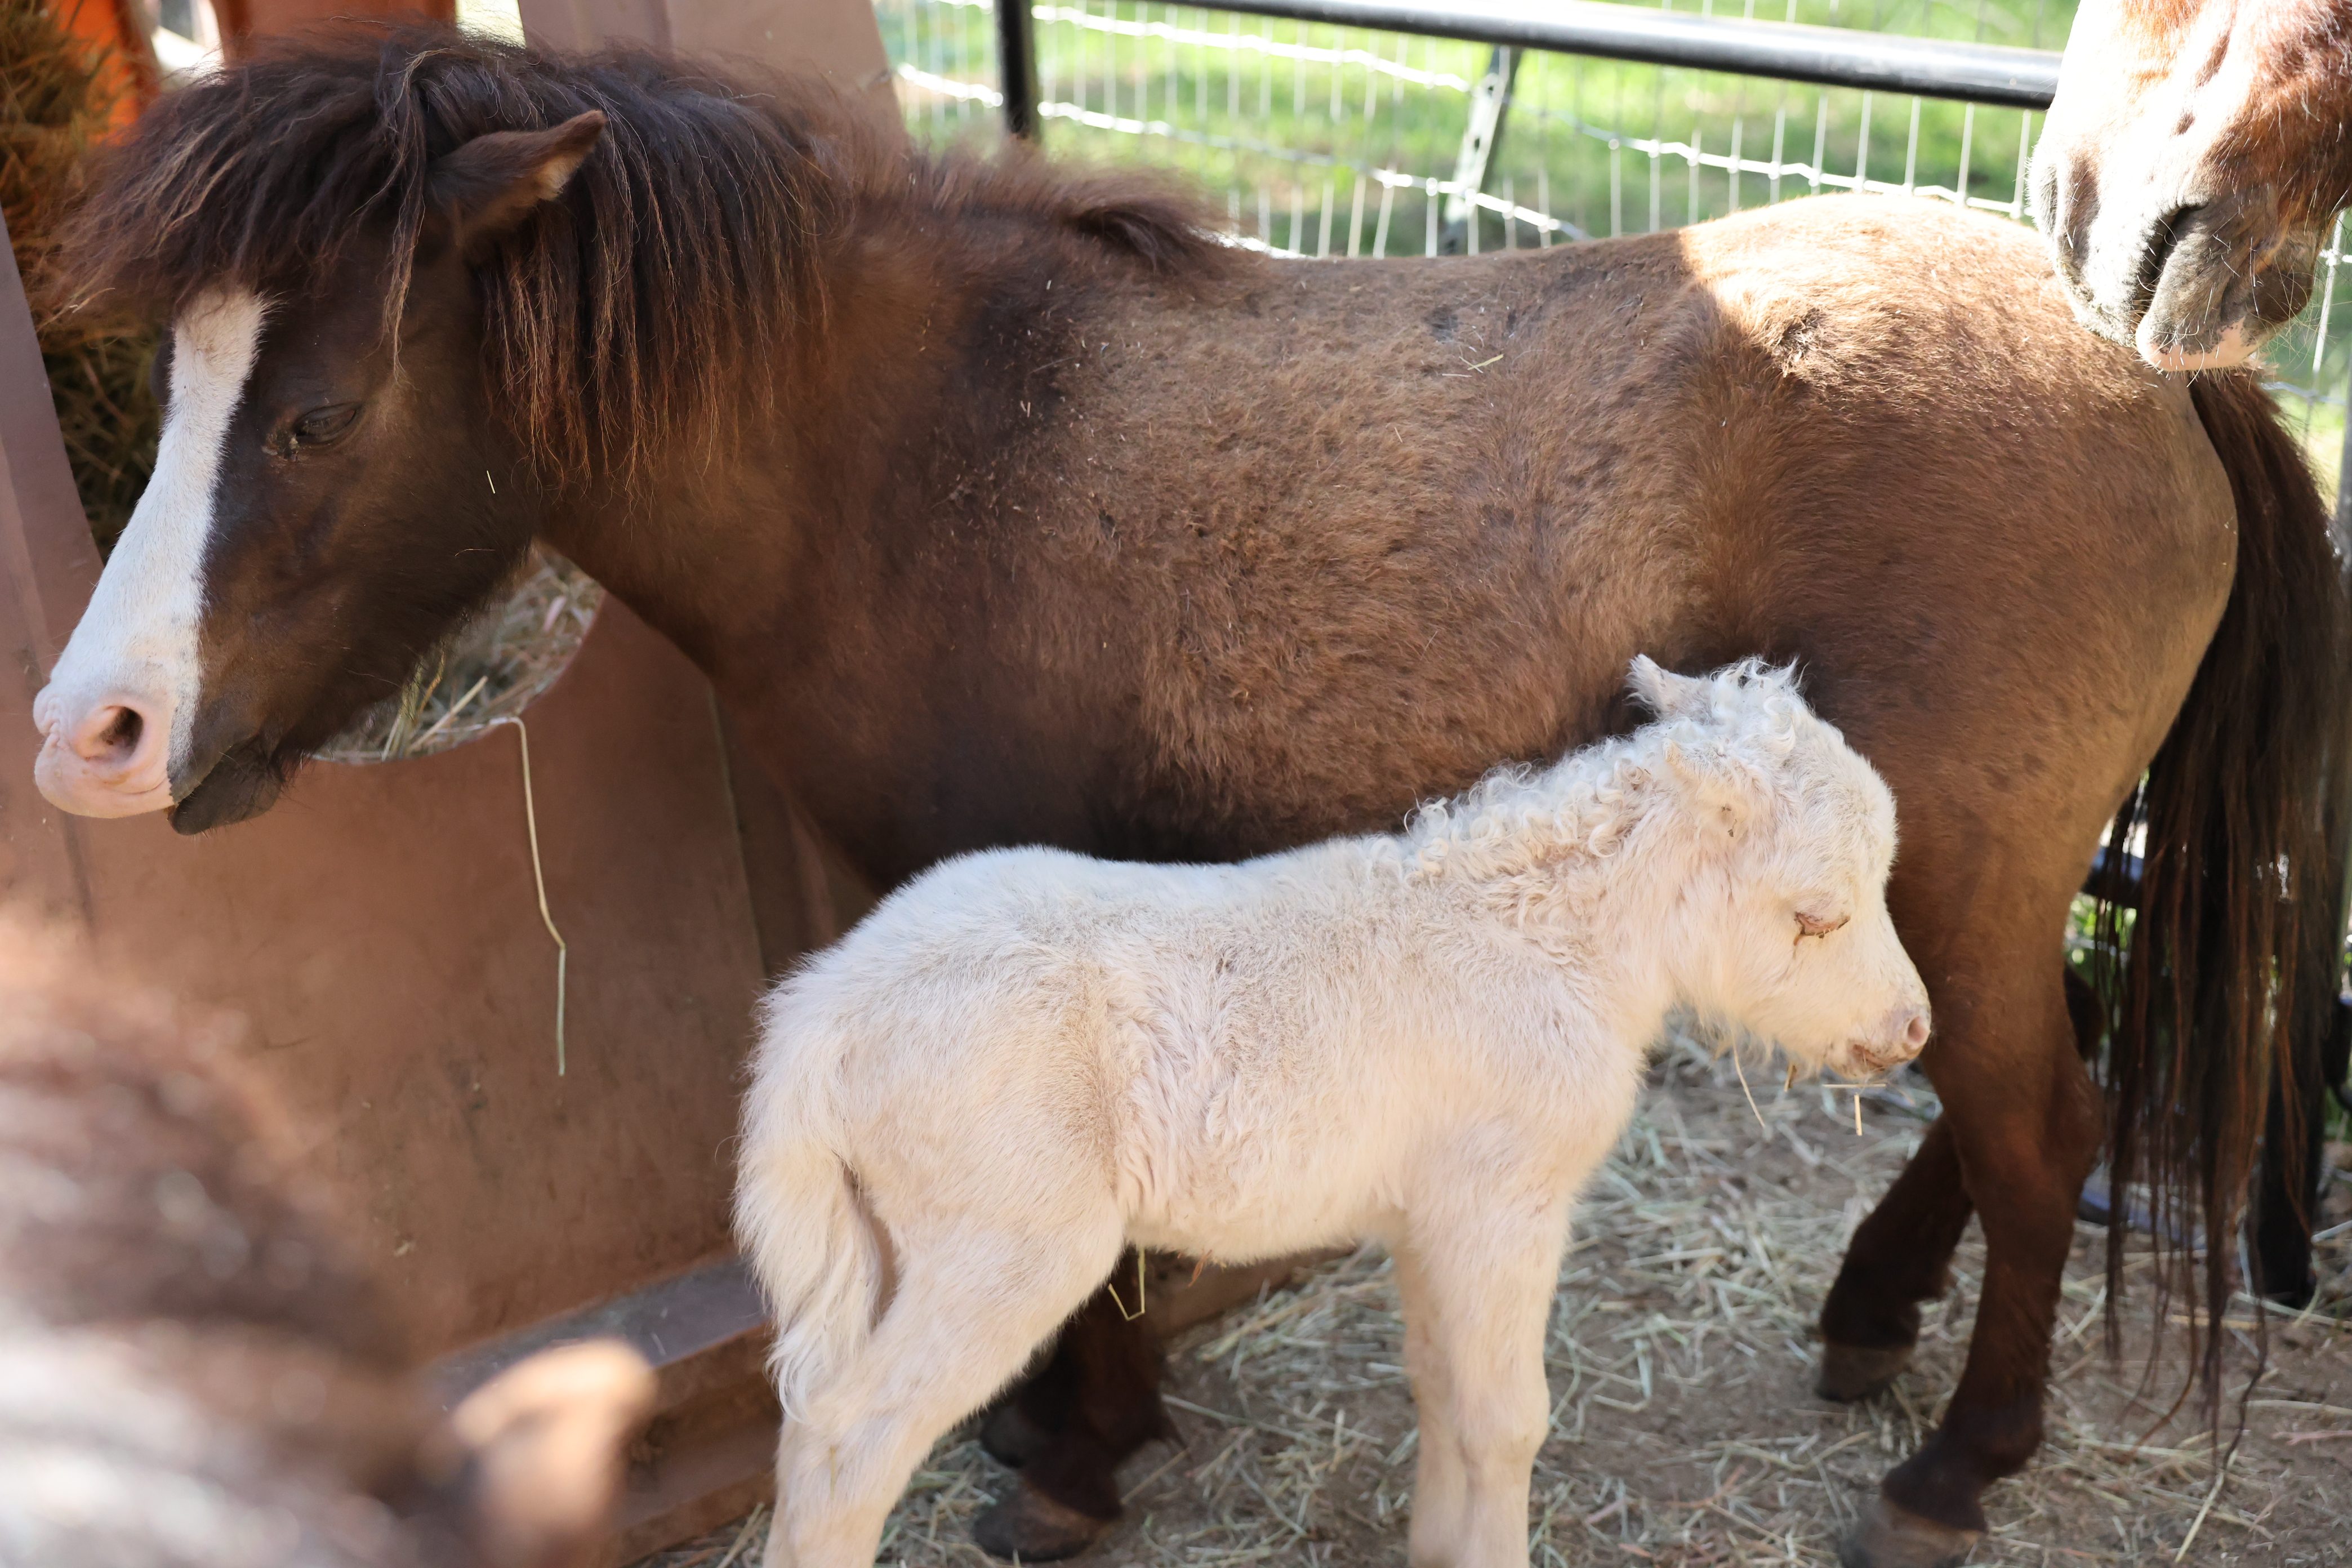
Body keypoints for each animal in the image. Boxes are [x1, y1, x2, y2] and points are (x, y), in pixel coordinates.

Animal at [738, 658, 1929, 1568]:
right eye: (1815, 914)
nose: (1910, 1029)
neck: (1553, 941)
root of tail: (816, 1019)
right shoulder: (1503, 1203)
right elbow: (1507, 1419)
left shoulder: (1431, 1215)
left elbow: (1441, 1391)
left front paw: (1438, 1549)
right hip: (1005, 1238)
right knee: (851, 1438)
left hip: (884, 1235)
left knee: (808, 1422)